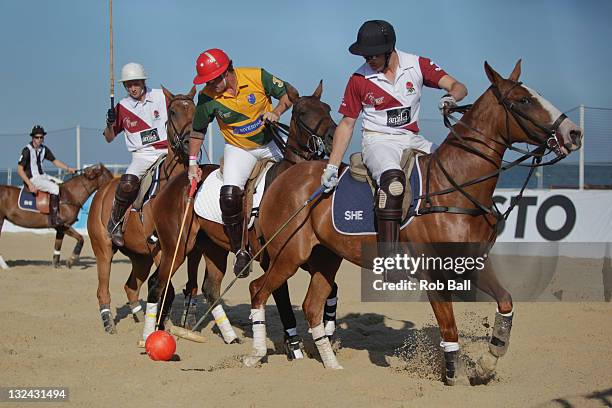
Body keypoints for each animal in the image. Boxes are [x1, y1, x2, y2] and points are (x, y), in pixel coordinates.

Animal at [88, 85, 201, 334]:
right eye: (173, 112)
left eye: (194, 111)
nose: (189, 144)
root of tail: (101, 191)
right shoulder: (161, 248)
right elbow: (166, 287)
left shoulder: (190, 248)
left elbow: (187, 284)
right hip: (104, 248)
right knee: (102, 288)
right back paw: (108, 322)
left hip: (140, 256)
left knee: (131, 286)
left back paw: (140, 317)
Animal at [140, 82, 338, 350]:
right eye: (302, 112)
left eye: (327, 108)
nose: (332, 137)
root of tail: (171, 184)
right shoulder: (272, 258)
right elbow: (282, 298)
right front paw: (292, 343)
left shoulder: (303, 255)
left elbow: (331, 288)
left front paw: (328, 333)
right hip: (177, 246)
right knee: (157, 284)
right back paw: (148, 337)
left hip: (212, 247)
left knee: (210, 287)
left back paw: (229, 336)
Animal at [245, 59, 584, 384]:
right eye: (523, 100)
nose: (574, 133)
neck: (457, 186)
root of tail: (284, 175)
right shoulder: (434, 272)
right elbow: (449, 330)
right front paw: (453, 375)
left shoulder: (472, 263)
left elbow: (505, 303)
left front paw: (486, 364)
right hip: (289, 252)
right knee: (258, 288)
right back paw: (256, 354)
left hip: (326, 256)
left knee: (312, 306)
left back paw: (332, 365)